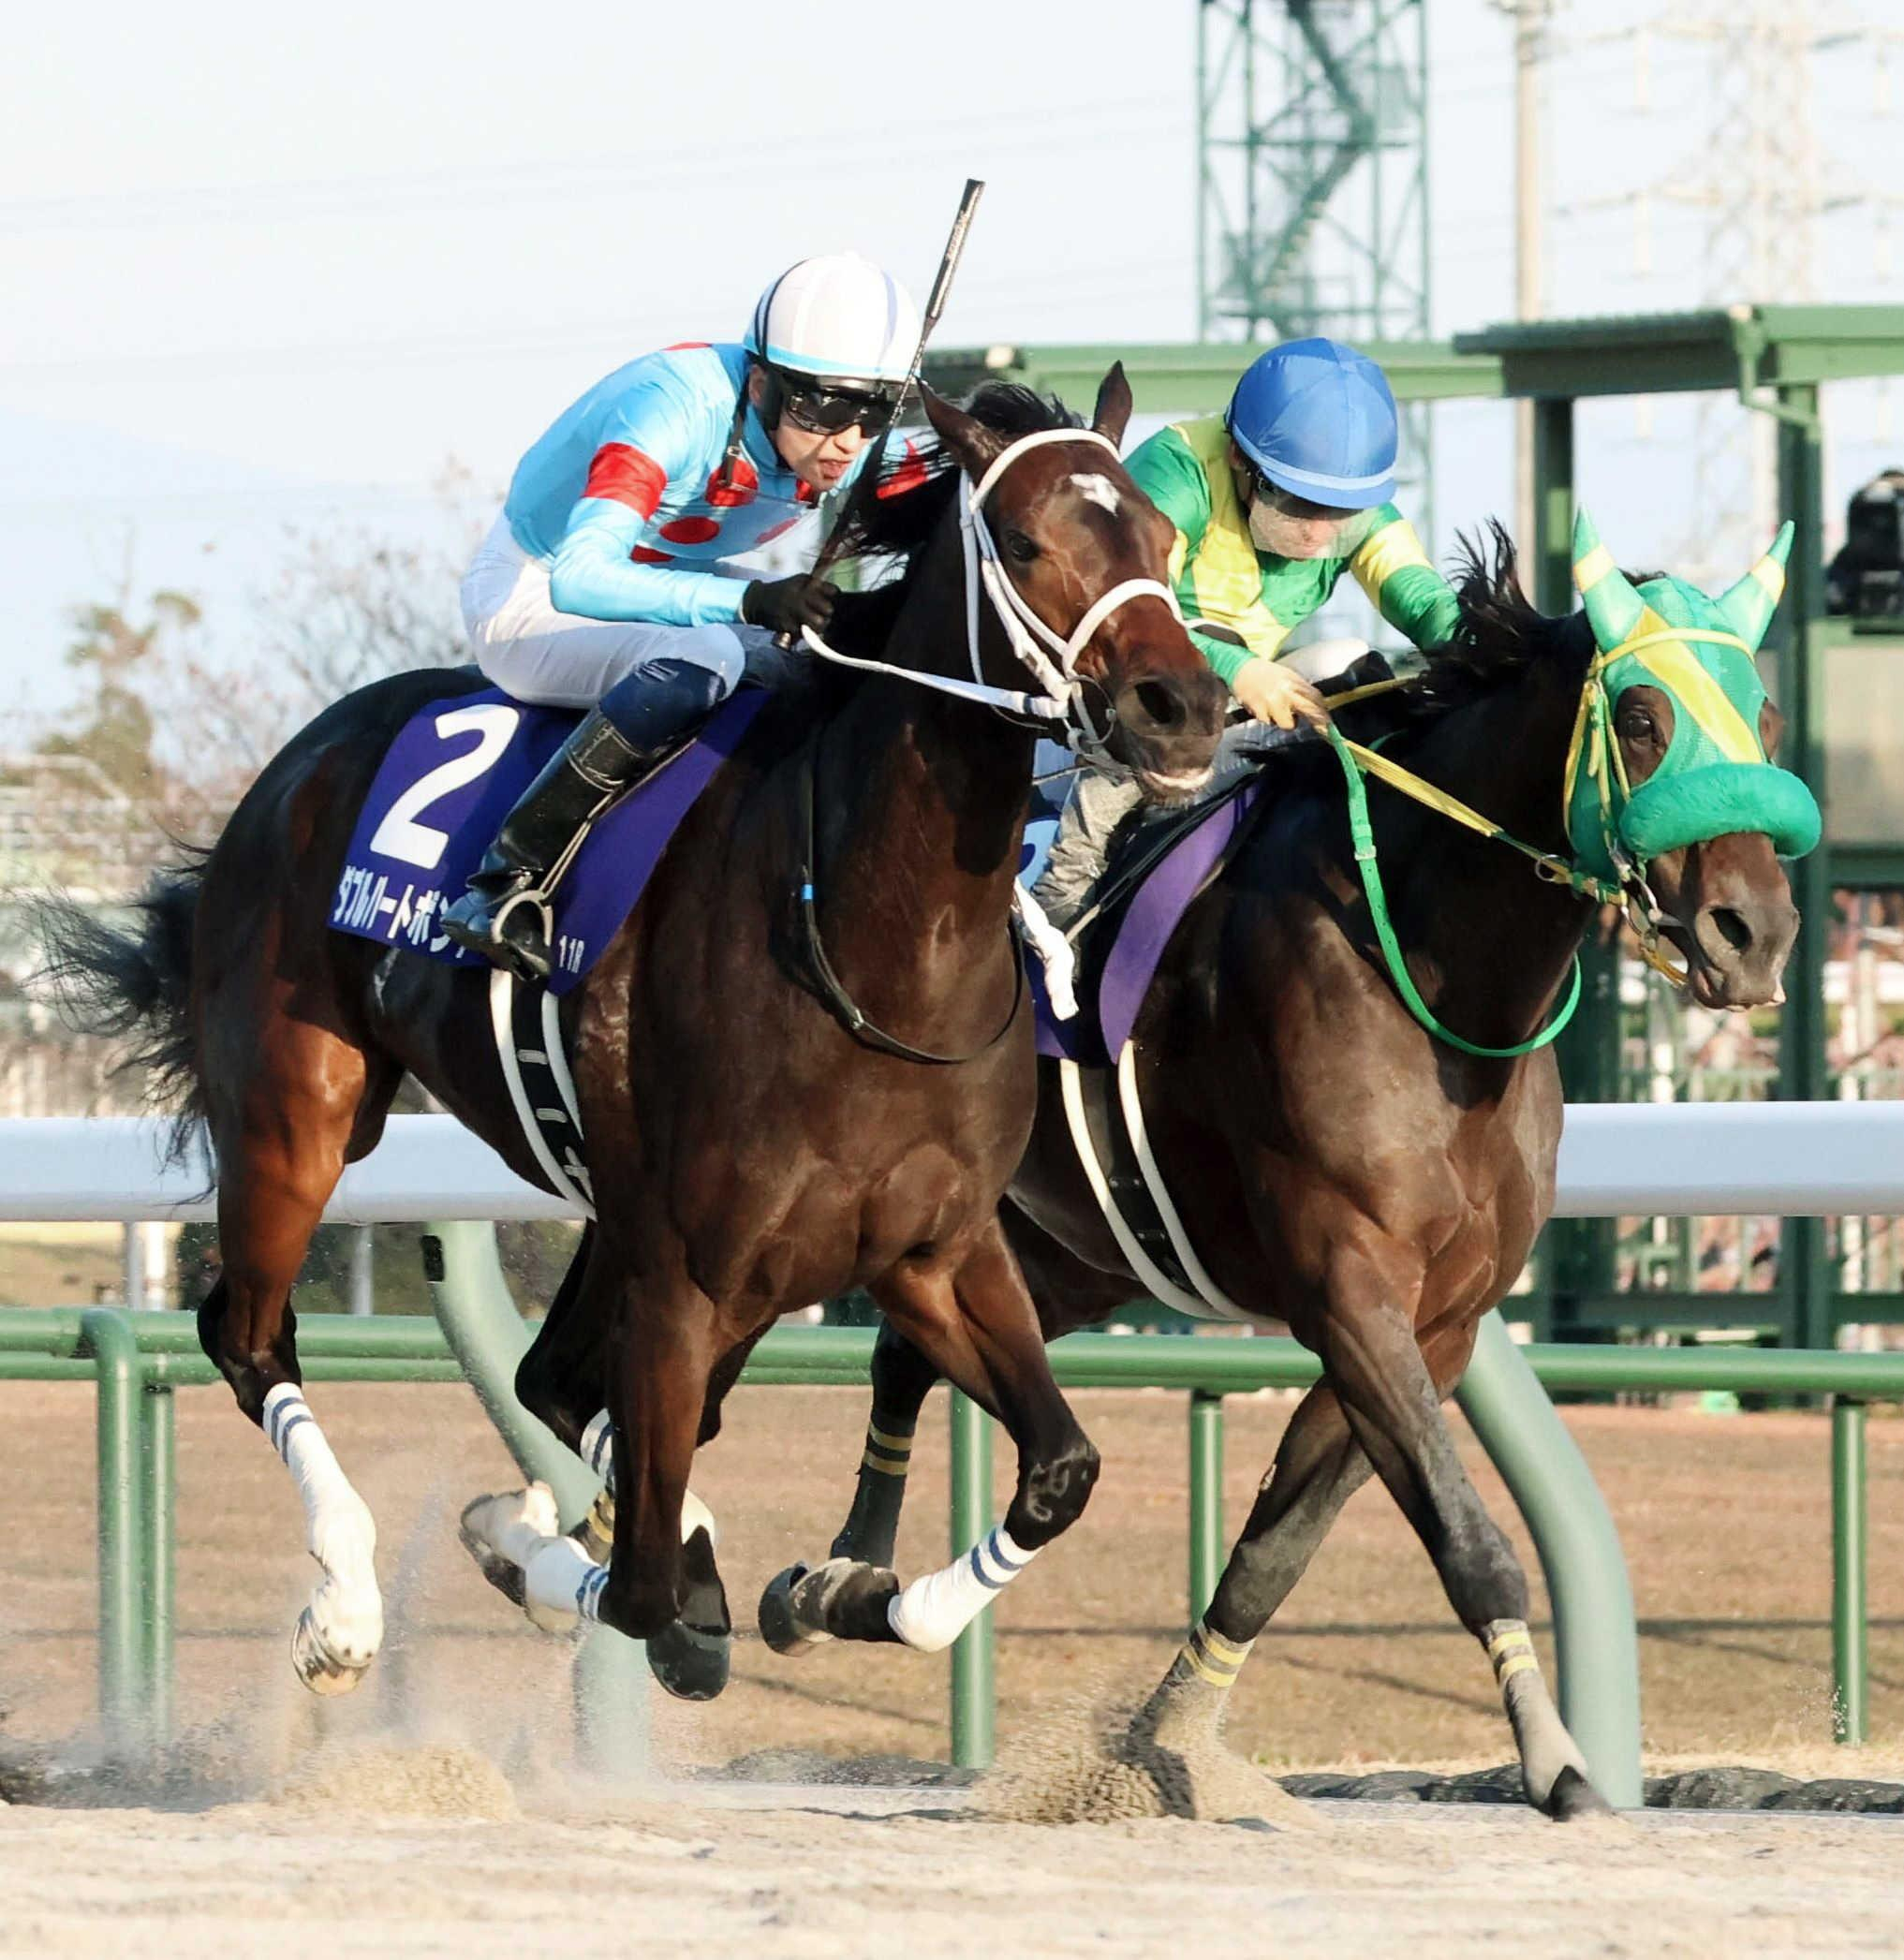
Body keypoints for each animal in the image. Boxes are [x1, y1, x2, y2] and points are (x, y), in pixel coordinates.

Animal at [40, 369, 1229, 1706]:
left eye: (1161, 536)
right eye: (1023, 541)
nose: (1183, 708)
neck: (874, 944)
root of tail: (286, 771)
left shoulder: (931, 1250)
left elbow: (1059, 1466)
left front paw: (861, 1593)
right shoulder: (689, 1273)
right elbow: (645, 1588)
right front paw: (543, 1552)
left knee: (545, 1382)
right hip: (301, 1113)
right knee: (248, 1336)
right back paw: (344, 1599)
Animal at [771, 518, 1813, 1818]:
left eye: (1760, 709)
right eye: (1636, 714)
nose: (1753, 931)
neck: (1430, 974)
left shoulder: (1437, 1322)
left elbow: (1275, 1546)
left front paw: (1163, 1743)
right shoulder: (1345, 1281)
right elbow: (1468, 1536)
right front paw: (1559, 1762)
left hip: (1072, 1252)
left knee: (903, 1355)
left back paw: (840, 1580)